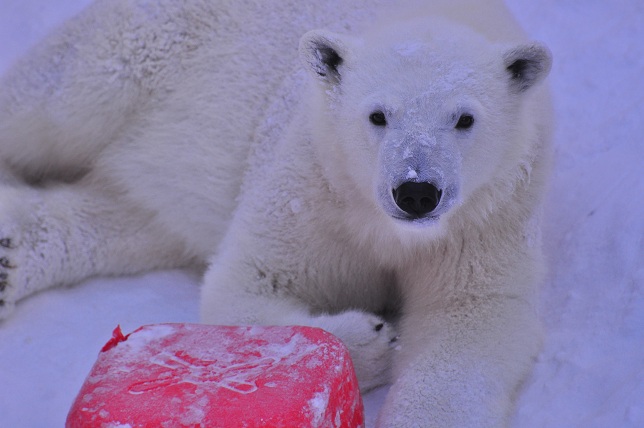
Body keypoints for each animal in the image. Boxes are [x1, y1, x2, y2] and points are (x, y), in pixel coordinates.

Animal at [1, 0, 552, 424]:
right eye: (377, 115)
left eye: (464, 118)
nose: (416, 191)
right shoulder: (313, 181)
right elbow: (248, 280)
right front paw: (374, 339)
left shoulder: (491, 215)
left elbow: (472, 322)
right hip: (140, 50)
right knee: (50, 102)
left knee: (122, 217)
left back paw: (11, 258)